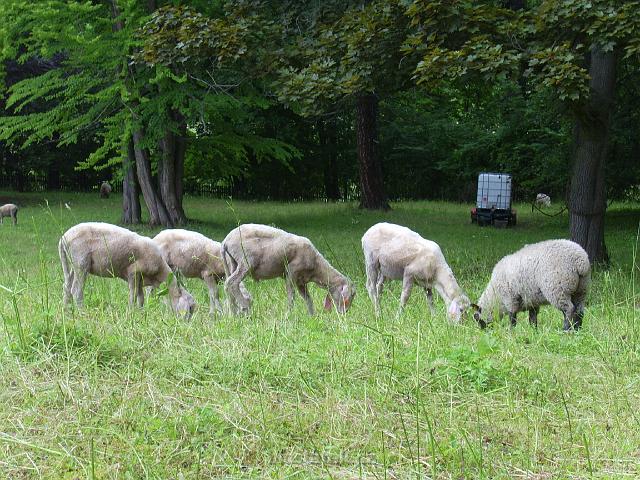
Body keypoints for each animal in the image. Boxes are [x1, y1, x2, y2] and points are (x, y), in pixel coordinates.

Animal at [59, 222, 195, 318]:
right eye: (190, 308)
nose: (186, 326)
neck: (159, 273)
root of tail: (65, 237)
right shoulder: (133, 272)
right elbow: (133, 295)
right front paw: (131, 313)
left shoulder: (140, 279)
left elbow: (141, 297)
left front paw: (141, 313)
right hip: (81, 261)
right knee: (76, 290)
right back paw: (82, 313)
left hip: (74, 263)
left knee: (67, 286)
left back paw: (66, 311)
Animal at [222, 224, 358, 316]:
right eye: (352, 294)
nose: (345, 313)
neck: (317, 267)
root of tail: (226, 241)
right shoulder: (291, 272)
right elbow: (291, 295)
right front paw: (289, 315)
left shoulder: (301, 281)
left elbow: (308, 299)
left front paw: (312, 316)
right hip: (246, 261)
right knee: (232, 282)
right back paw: (245, 308)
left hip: (233, 263)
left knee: (229, 285)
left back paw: (233, 314)